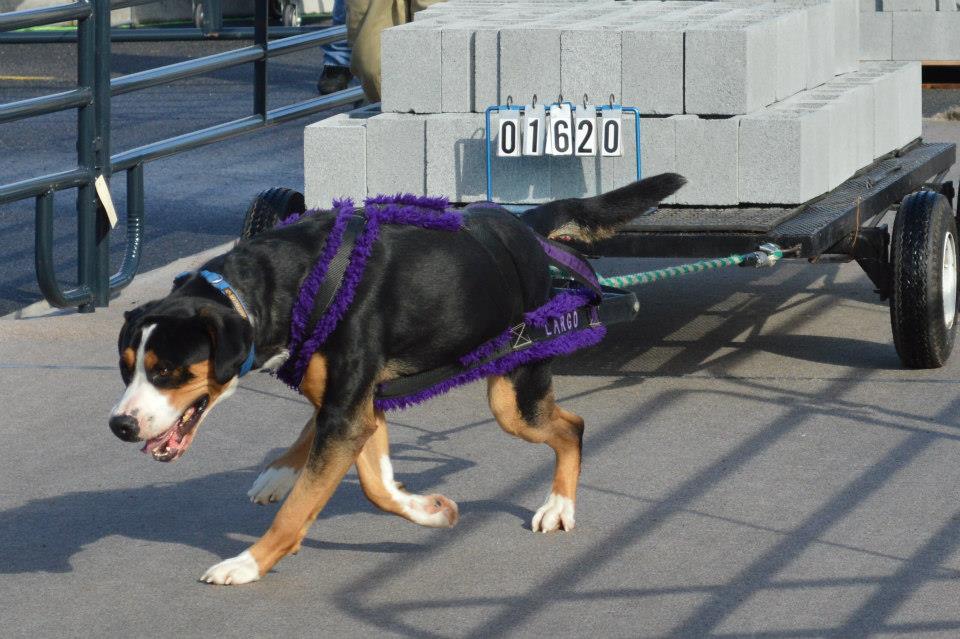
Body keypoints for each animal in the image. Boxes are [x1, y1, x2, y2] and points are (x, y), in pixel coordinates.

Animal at [109, 174, 688, 584]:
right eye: (125, 365)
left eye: (169, 371)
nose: (120, 425)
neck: (292, 282)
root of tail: (519, 224)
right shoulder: (356, 407)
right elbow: (374, 485)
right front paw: (426, 510)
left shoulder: (349, 411)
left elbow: (303, 509)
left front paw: (247, 564)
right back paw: (278, 472)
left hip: (512, 391)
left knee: (571, 427)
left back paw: (559, 507)